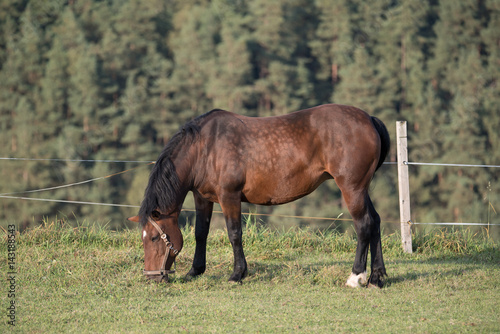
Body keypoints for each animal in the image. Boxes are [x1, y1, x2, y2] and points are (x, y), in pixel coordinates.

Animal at [128, 103, 390, 288]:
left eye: (154, 238)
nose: (152, 277)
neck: (205, 148)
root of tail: (369, 119)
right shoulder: (203, 198)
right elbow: (201, 233)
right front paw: (195, 271)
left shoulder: (229, 197)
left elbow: (235, 234)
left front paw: (237, 274)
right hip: (361, 189)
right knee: (375, 222)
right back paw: (377, 277)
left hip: (351, 188)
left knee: (363, 225)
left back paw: (356, 277)